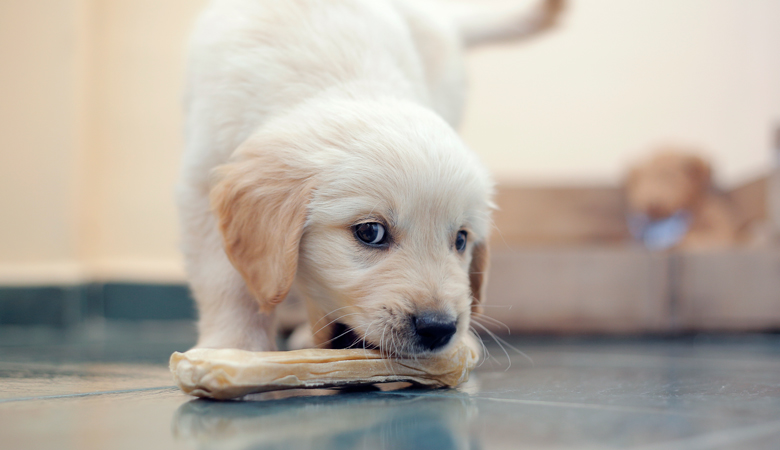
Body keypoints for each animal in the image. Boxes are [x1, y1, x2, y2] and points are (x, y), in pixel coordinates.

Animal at [179, 0, 564, 356]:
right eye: (370, 232)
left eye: (461, 240)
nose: (439, 328)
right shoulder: (202, 182)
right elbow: (226, 281)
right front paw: (233, 346)